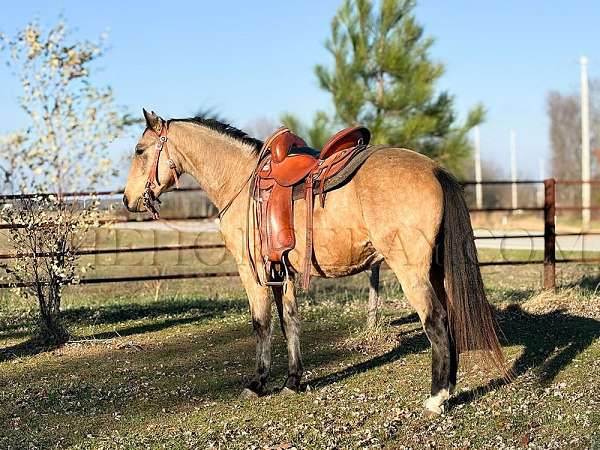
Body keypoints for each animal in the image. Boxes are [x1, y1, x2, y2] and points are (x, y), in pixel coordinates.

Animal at [123, 109, 506, 414]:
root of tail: (435, 169)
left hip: (412, 271)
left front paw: (257, 384)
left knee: (436, 321)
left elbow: (261, 324)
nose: (127, 200)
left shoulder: (253, 272)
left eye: (140, 150)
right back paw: (449, 388)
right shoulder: (283, 272)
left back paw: (436, 398)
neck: (241, 180)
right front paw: (293, 381)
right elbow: (289, 321)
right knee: (449, 318)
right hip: (437, 271)